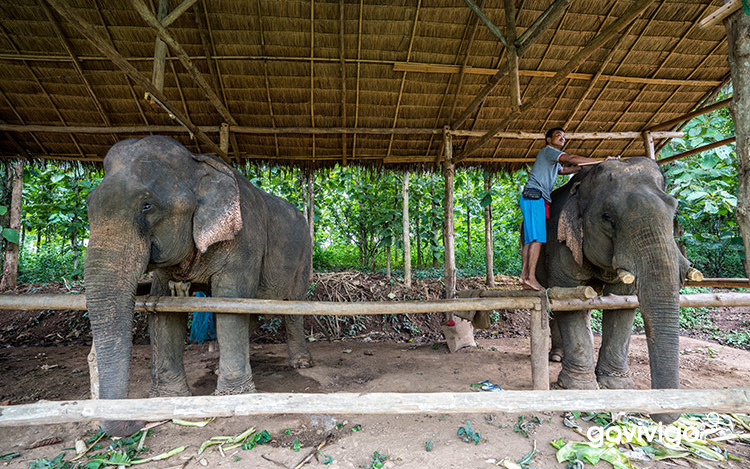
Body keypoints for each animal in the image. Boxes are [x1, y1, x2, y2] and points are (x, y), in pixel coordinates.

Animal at [86, 135, 314, 436]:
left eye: (147, 206)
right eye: (88, 203)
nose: (137, 423)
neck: (197, 164)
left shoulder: (244, 241)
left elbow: (229, 304)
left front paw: (234, 396)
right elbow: (167, 310)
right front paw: (167, 399)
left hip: (303, 256)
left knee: (293, 308)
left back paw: (301, 363)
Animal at [540, 156, 692, 424]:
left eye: (674, 211)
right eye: (607, 217)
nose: (660, 417)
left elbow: (623, 301)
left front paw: (615, 386)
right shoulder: (559, 243)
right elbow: (569, 300)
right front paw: (579, 388)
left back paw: (560, 356)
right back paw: (558, 356)